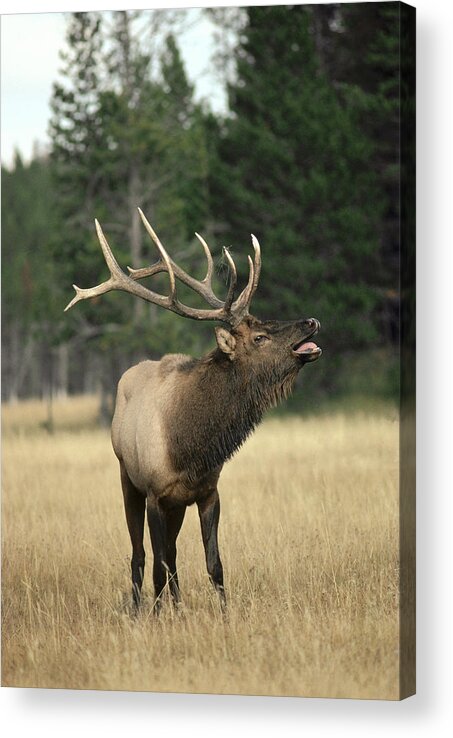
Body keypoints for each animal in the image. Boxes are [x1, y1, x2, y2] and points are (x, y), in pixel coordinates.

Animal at [64, 208, 322, 608]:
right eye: (260, 337)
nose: (311, 321)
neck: (189, 447)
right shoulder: (155, 494)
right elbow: (156, 564)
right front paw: (156, 615)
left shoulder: (206, 492)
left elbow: (214, 565)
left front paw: (222, 612)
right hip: (127, 478)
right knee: (141, 554)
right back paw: (140, 607)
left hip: (177, 505)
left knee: (171, 553)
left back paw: (177, 604)